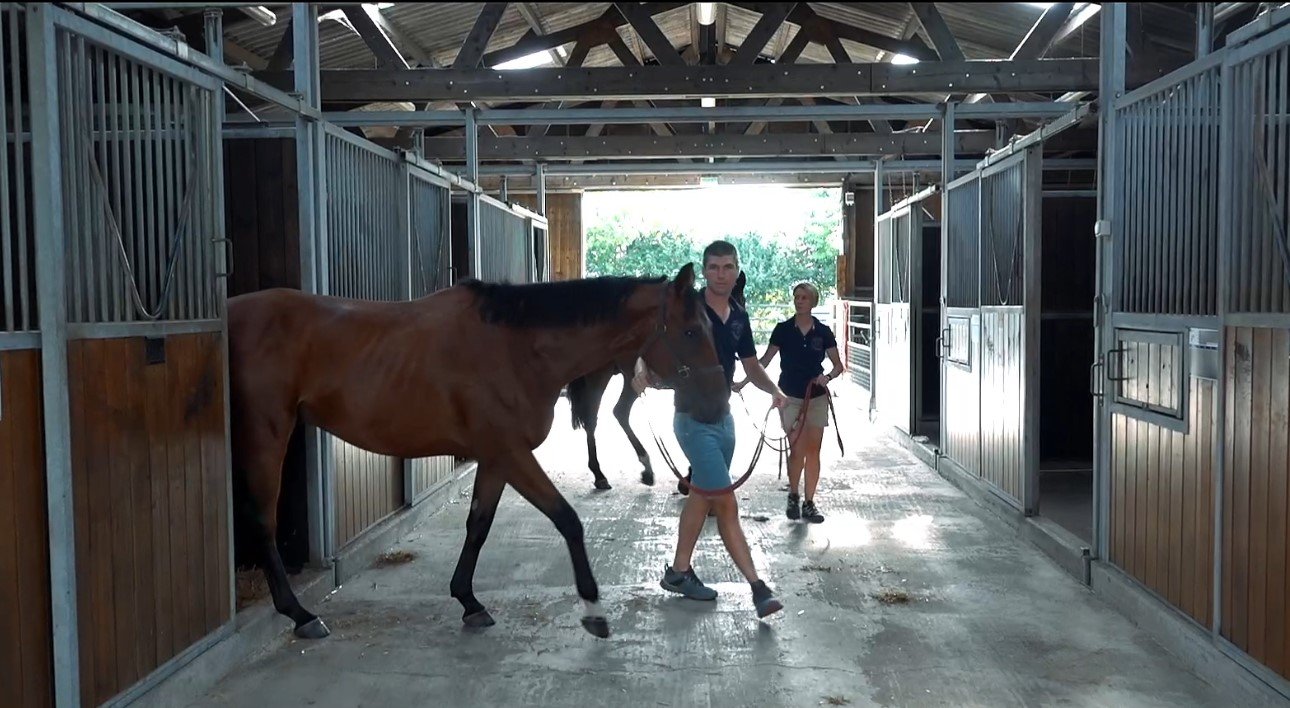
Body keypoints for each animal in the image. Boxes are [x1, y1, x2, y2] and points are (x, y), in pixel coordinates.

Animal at [226, 264, 729, 640]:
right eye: (690, 330)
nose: (719, 402)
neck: (516, 349)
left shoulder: (495, 458)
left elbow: (478, 526)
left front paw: (468, 601)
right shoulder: (511, 454)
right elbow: (567, 519)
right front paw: (593, 610)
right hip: (267, 433)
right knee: (262, 519)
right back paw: (301, 615)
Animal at [565, 271, 747, 491]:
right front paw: (689, 477)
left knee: (619, 411)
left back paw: (645, 469)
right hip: (600, 375)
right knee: (593, 418)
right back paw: (600, 474)